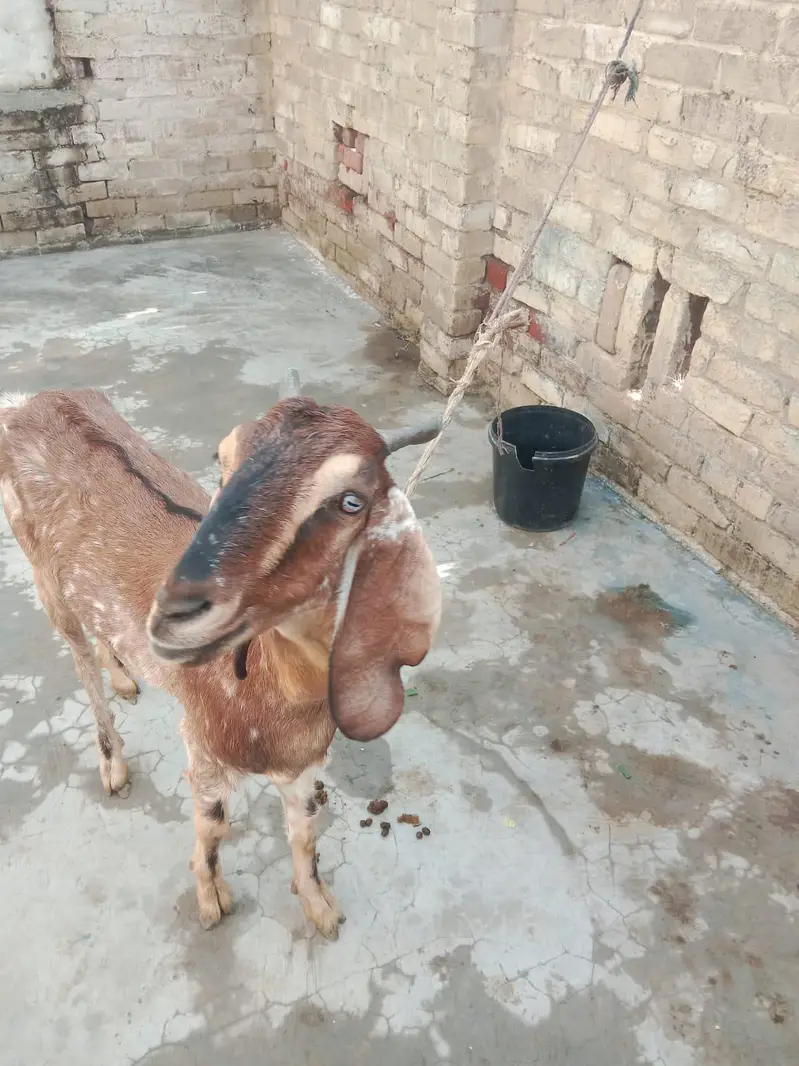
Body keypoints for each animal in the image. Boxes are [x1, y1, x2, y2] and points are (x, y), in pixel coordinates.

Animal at [0, 378, 441, 937]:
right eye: (222, 461)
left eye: (351, 501)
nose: (174, 611)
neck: (277, 694)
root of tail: (23, 403)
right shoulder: (204, 744)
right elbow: (214, 826)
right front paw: (212, 899)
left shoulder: (302, 763)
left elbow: (305, 831)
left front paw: (319, 907)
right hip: (43, 575)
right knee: (79, 661)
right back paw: (113, 764)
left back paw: (122, 675)